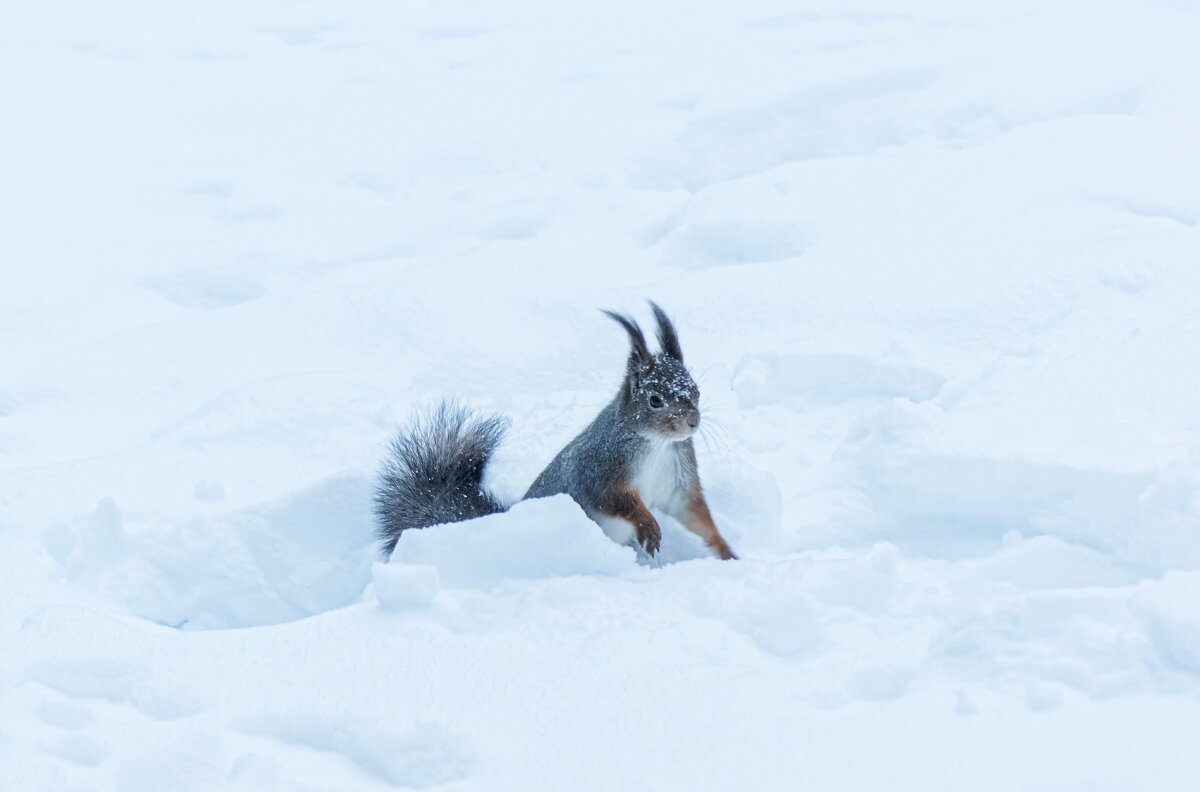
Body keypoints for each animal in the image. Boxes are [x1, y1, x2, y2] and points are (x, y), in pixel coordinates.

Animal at [372, 298, 729, 564]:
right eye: (655, 400)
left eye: (695, 389)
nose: (693, 422)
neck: (656, 444)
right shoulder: (601, 468)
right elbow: (617, 500)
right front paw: (650, 526)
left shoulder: (678, 477)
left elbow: (694, 513)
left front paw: (725, 550)